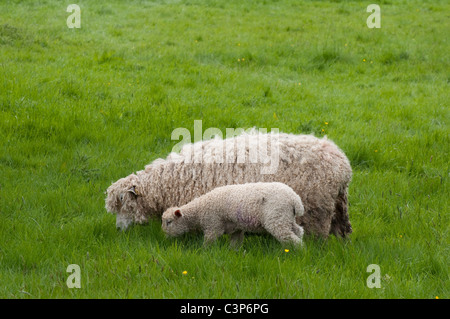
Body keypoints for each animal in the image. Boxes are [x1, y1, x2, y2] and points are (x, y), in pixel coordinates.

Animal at [104, 129, 352, 238]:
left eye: (124, 204)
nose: (117, 230)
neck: (171, 181)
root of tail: (343, 165)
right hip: (335, 209)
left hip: (316, 211)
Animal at [162, 182, 306, 248]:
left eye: (169, 222)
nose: (165, 237)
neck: (199, 209)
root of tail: (295, 199)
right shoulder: (236, 228)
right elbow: (235, 243)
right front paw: (233, 253)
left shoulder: (213, 225)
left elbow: (209, 242)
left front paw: (203, 252)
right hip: (286, 217)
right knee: (298, 232)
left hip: (276, 218)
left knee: (291, 238)